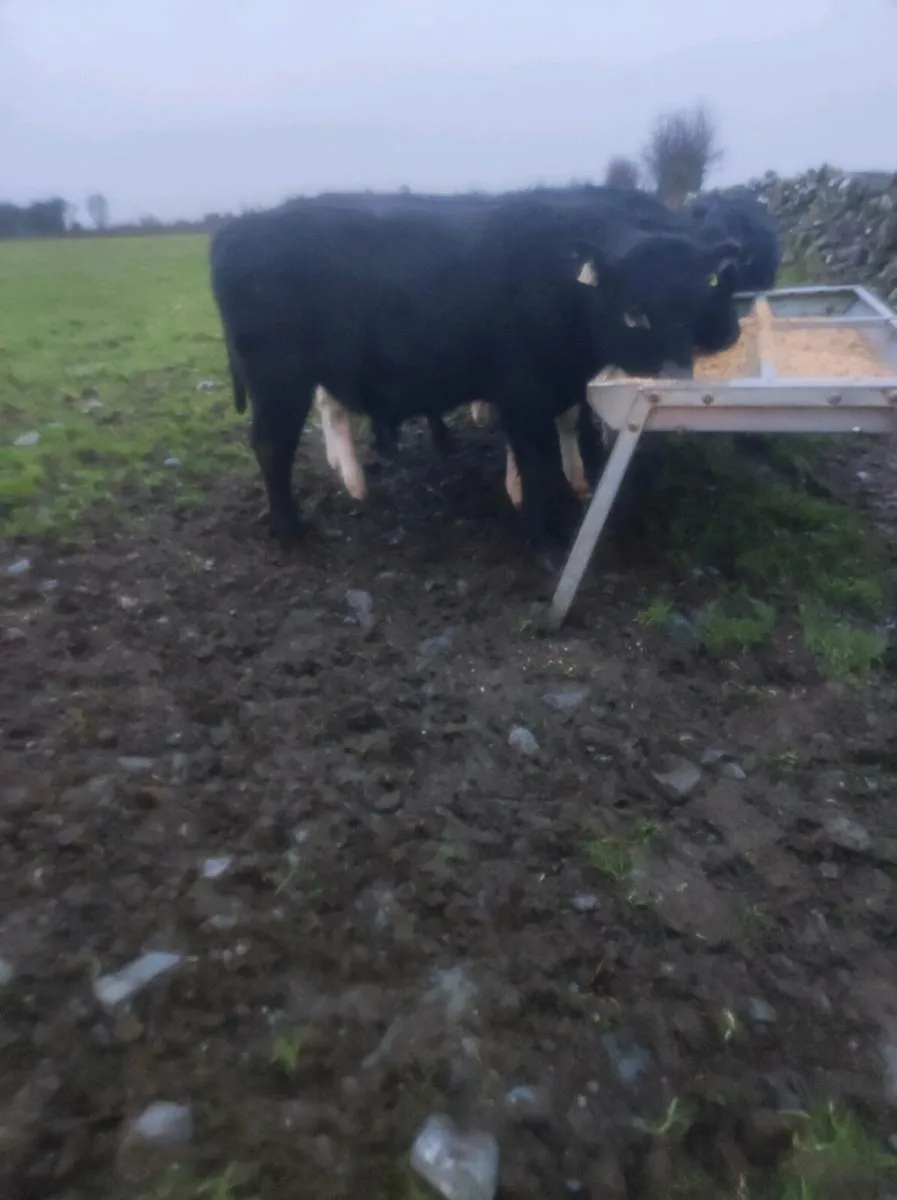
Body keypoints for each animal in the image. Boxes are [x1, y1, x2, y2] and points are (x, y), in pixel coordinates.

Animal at [211, 193, 741, 547]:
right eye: (634, 313)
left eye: (695, 301)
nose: (676, 374)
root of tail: (240, 227)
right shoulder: (521, 396)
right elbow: (535, 463)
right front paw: (540, 532)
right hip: (279, 383)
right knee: (272, 448)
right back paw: (293, 529)